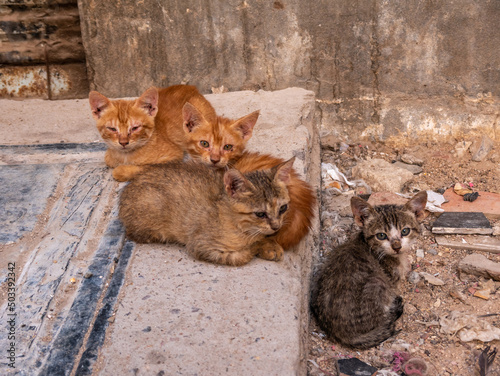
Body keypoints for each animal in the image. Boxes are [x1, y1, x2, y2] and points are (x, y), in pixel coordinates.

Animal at [310, 192, 428, 352]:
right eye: (381, 235)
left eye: (405, 231)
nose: (397, 246)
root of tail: (341, 334)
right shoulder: (391, 281)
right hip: (377, 282)